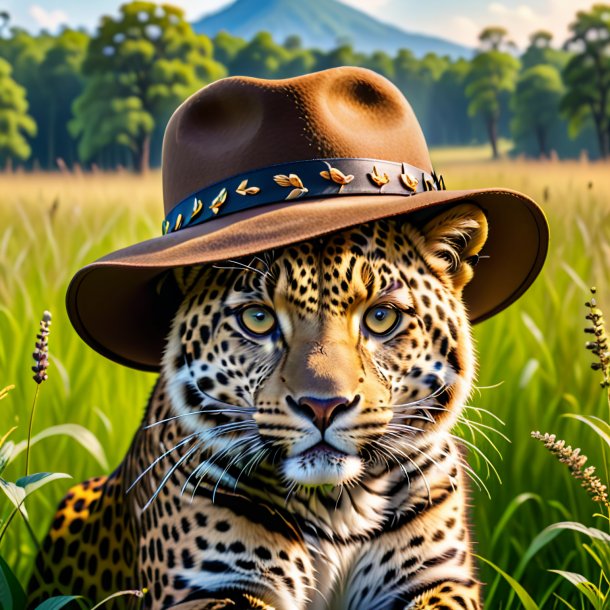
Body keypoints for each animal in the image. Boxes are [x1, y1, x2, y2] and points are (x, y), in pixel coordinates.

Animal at [27, 202, 490, 604]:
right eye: (258, 318)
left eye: (381, 317)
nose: (323, 407)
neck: (338, 505)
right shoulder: (206, 588)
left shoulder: (439, 578)